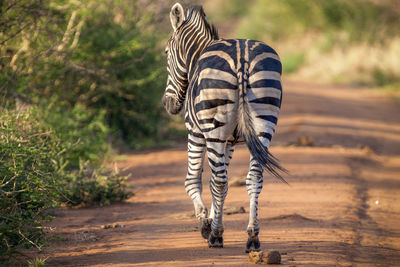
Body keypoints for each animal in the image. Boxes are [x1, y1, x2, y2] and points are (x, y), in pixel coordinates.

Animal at [161, 3, 286, 252]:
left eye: (166, 53)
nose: (168, 104)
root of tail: (242, 57)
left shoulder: (196, 133)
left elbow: (194, 179)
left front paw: (206, 224)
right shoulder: (229, 141)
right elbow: (220, 180)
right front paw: (212, 219)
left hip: (214, 129)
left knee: (218, 181)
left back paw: (216, 236)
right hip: (264, 122)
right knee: (253, 178)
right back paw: (253, 237)